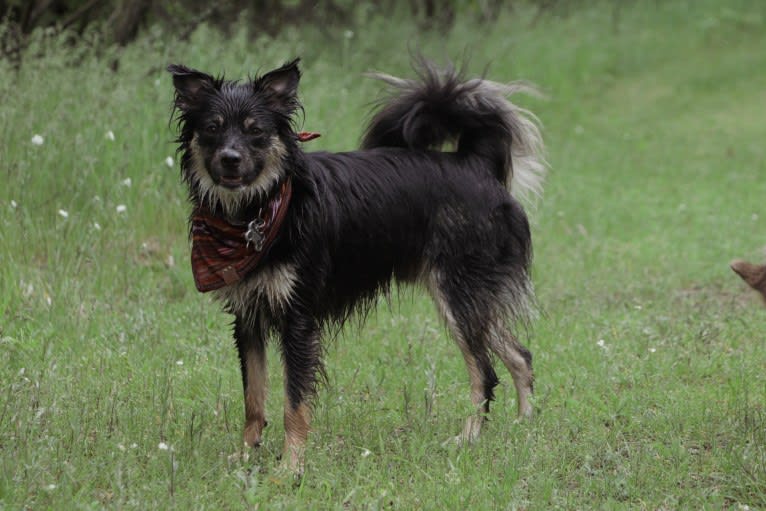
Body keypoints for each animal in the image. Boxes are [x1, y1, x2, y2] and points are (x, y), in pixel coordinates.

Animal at [168, 58, 544, 474]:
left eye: (256, 131)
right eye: (212, 127)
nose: (230, 159)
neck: (260, 208)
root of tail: (475, 163)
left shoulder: (298, 320)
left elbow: (293, 402)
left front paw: (290, 467)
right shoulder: (249, 317)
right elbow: (254, 397)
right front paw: (247, 453)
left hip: (460, 295)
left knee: (485, 373)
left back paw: (469, 438)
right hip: (471, 299)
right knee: (520, 355)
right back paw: (524, 425)